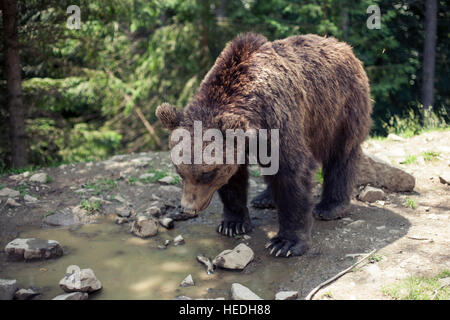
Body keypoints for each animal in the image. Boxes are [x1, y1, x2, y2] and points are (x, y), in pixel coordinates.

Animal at [156, 32, 370, 258]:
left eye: (208, 173)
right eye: (180, 171)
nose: (188, 208)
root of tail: (343, 46)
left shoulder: (279, 120)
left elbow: (292, 172)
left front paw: (285, 243)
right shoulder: (242, 142)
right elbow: (235, 178)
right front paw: (233, 223)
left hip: (340, 108)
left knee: (341, 154)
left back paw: (330, 207)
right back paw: (265, 198)